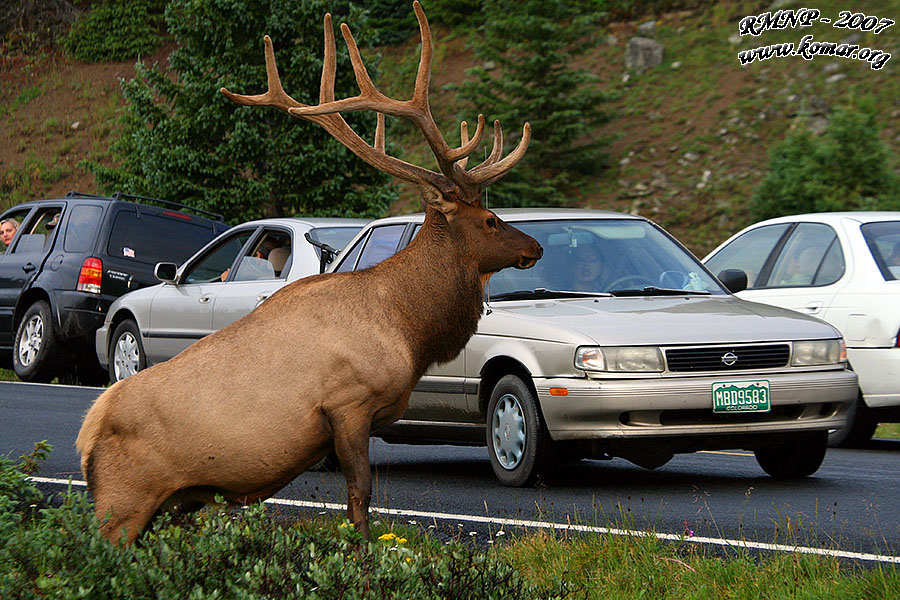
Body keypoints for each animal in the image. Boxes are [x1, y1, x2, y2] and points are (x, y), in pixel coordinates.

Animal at [75, 0, 540, 544]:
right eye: (490, 220)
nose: (534, 247)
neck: (409, 326)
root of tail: (87, 433)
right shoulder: (347, 404)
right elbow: (360, 496)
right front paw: (362, 551)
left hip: (169, 506)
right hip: (121, 504)